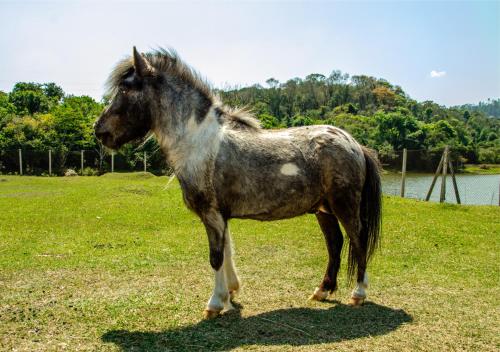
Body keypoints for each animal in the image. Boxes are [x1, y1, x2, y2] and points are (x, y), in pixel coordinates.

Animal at [94, 46, 382, 320]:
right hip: (323, 210)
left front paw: (214, 303)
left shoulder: (211, 214)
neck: (199, 142)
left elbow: (216, 257)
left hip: (345, 206)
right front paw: (230, 293)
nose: (99, 130)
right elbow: (227, 253)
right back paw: (322, 291)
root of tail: (354, 143)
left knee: (357, 240)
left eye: (125, 88)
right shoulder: (221, 216)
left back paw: (358, 293)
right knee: (335, 244)